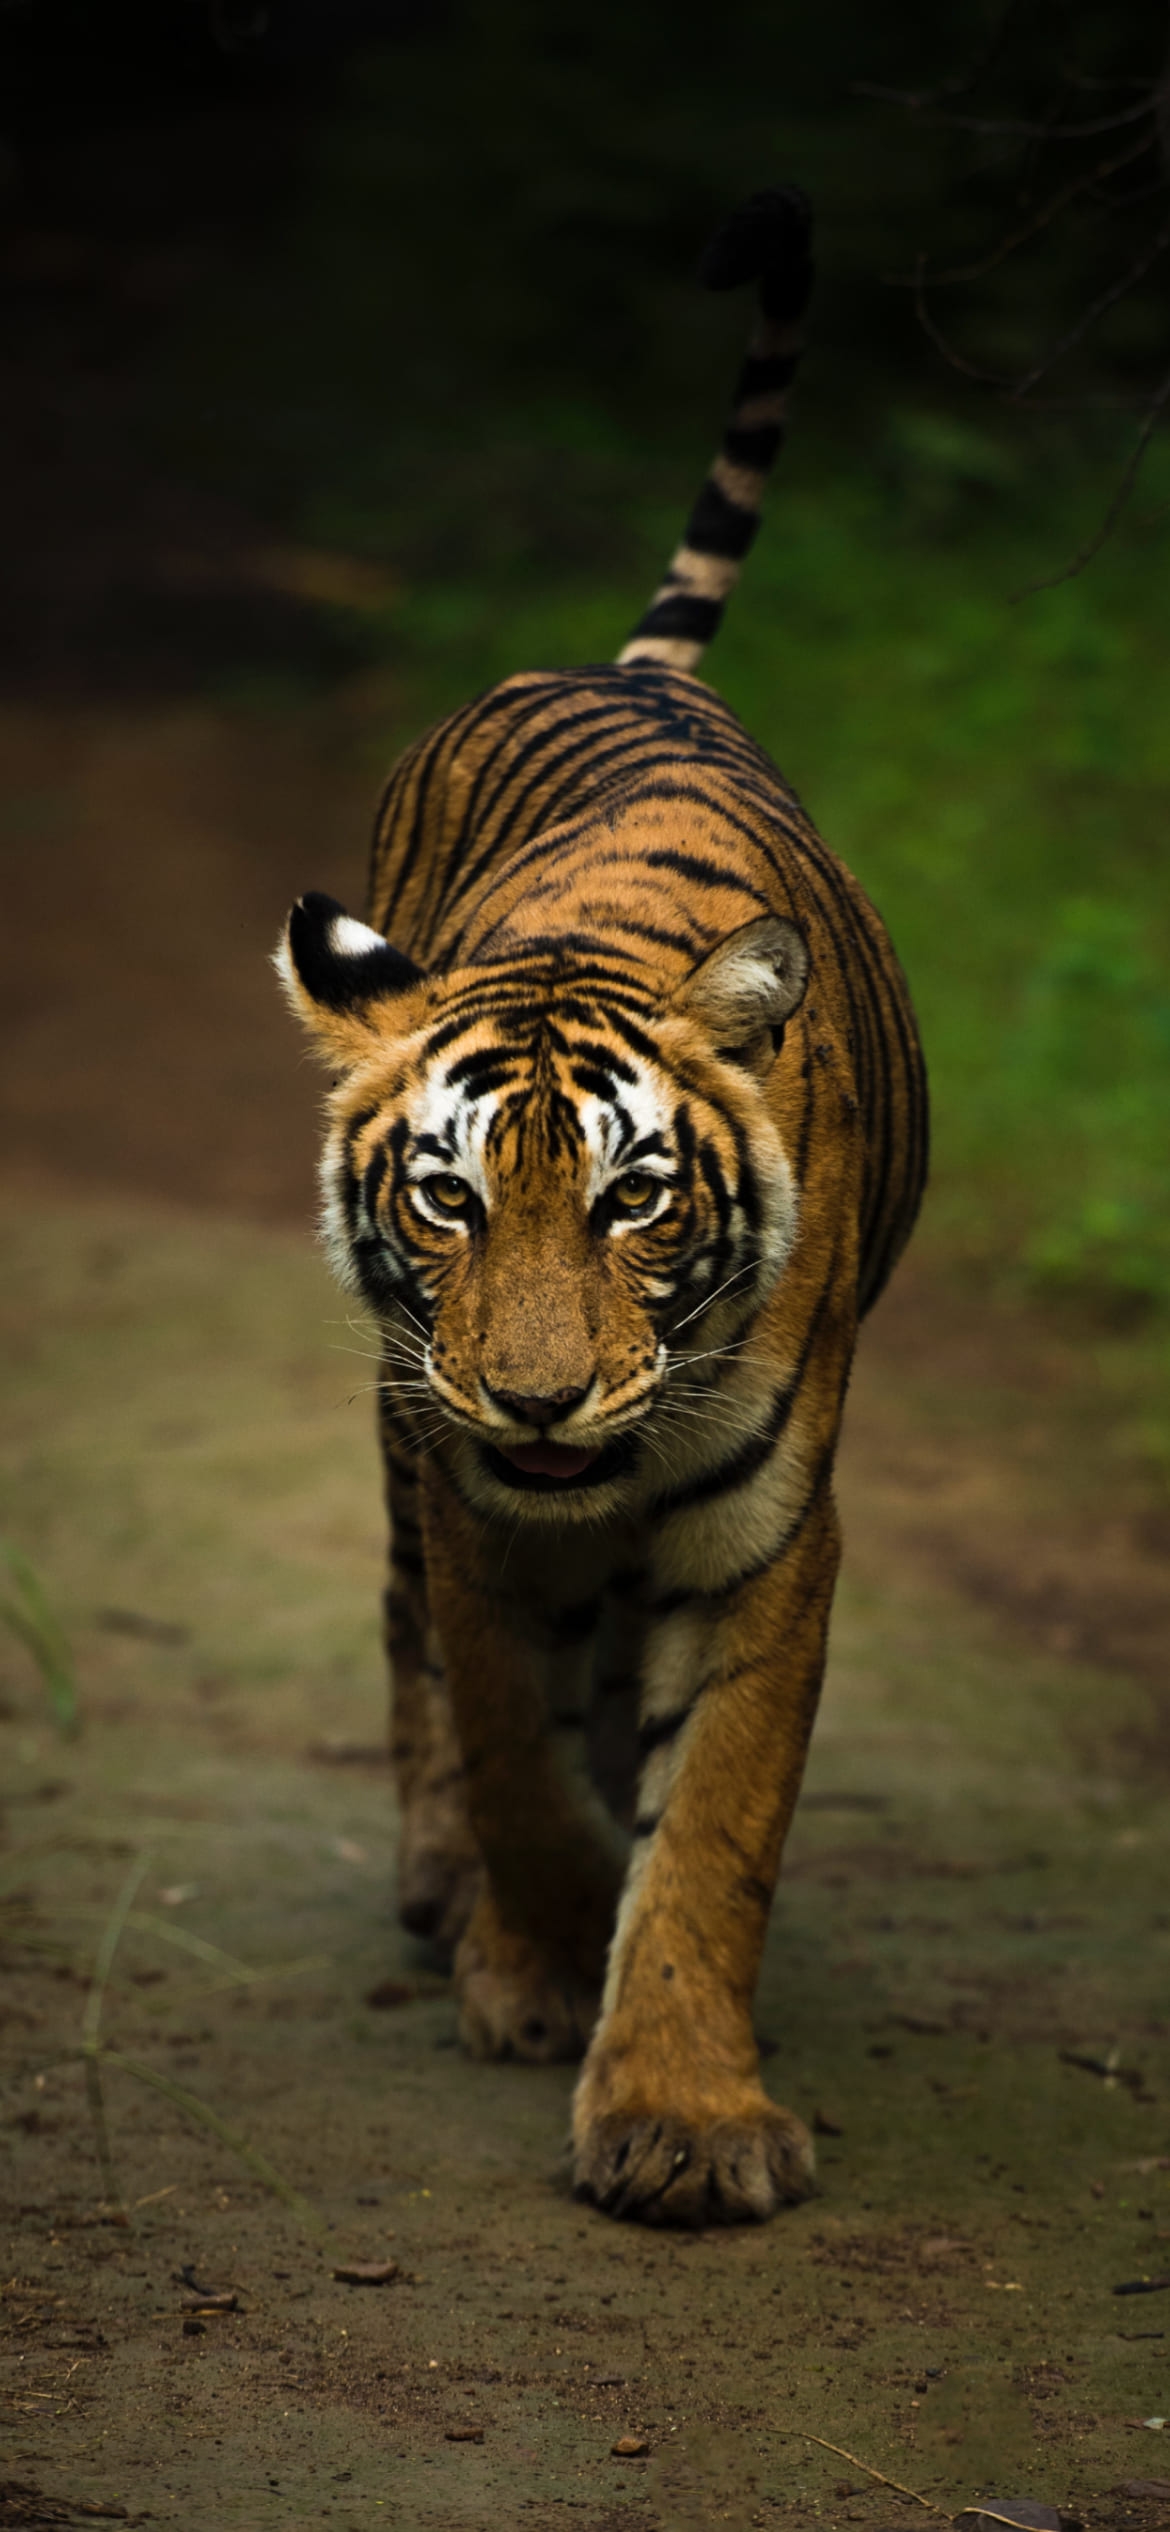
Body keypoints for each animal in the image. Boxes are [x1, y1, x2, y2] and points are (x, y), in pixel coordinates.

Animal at [276, 187, 927, 2226]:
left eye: (640, 1199)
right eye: (448, 1201)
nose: (542, 1398)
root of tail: (633, 669)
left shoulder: (770, 1536)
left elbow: (710, 1822)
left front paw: (682, 2115)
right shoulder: (472, 1496)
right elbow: (511, 1745)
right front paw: (539, 1953)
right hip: (399, 1434)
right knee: (412, 1640)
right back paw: (443, 1892)